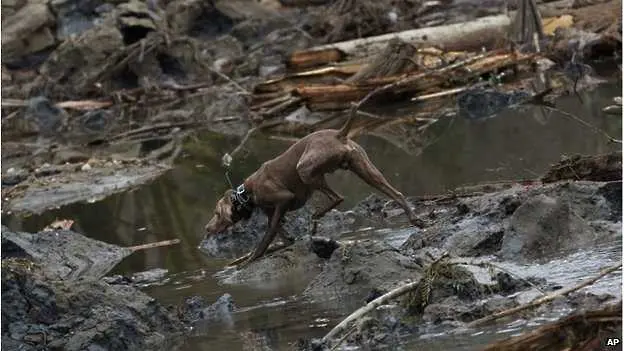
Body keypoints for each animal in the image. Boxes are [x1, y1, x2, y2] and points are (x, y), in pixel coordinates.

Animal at [205, 114, 424, 268]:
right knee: (396, 193)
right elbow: (280, 234)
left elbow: (267, 236)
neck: (246, 194)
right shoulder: (272, 212)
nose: (207, 229)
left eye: (216, 213)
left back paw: (316, 217)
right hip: (364, 169)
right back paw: (415, 219)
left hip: (305, 169)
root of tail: (338, 134)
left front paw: (249, 260)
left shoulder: (284, 199)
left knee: (337, 197)